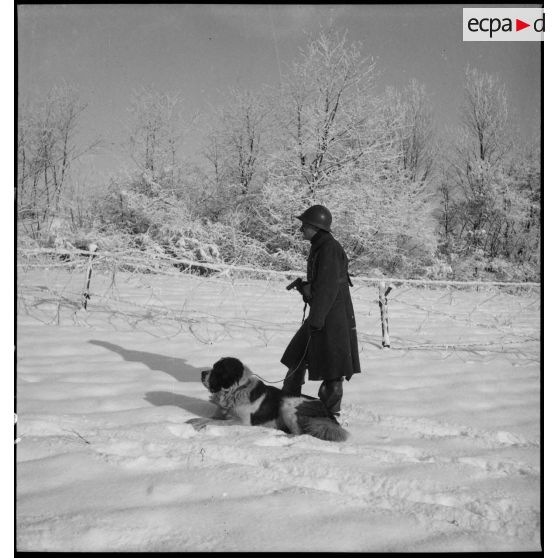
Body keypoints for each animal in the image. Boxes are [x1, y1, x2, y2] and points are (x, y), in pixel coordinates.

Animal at [188, 358, 350, 446]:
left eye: (218, 370)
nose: (202, 373)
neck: (236, 390)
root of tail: (327, 411)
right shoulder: (221, 414)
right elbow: (210, 418)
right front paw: (193, 421)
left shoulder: (242, 422)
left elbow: (217, 422)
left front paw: (199, 425)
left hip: (287, 404)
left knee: (300, 433)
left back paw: (279, 436)